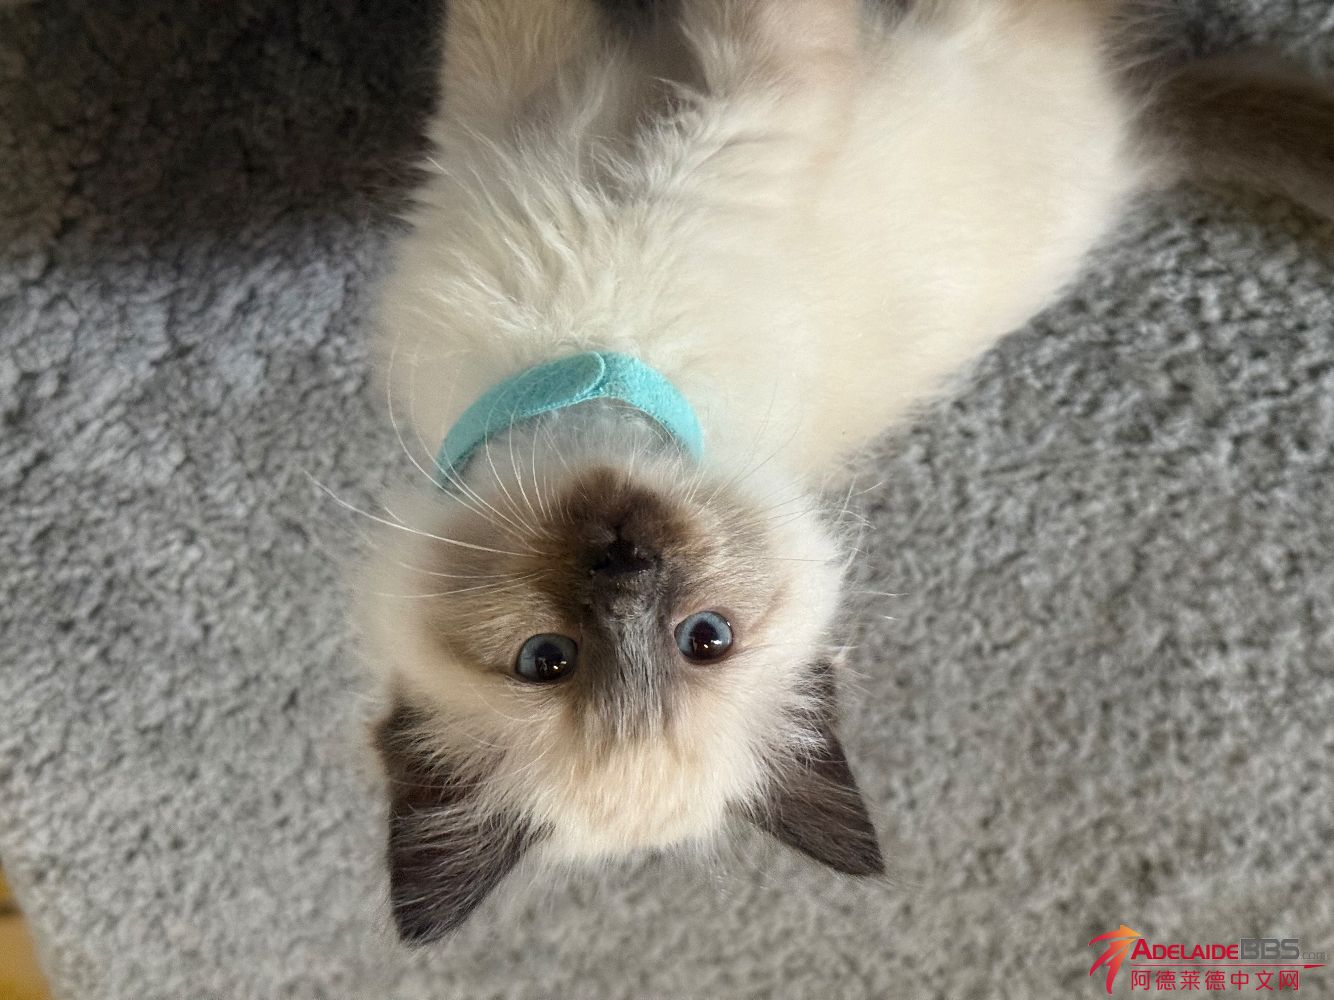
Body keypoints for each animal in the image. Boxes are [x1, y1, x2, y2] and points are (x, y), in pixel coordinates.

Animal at [362, 0, 1334, 943]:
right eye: (548, 659)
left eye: (704, 640)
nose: (623, 562)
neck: (591, 357)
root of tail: (1138, 137)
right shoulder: (653, 101)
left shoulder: (656, 97)